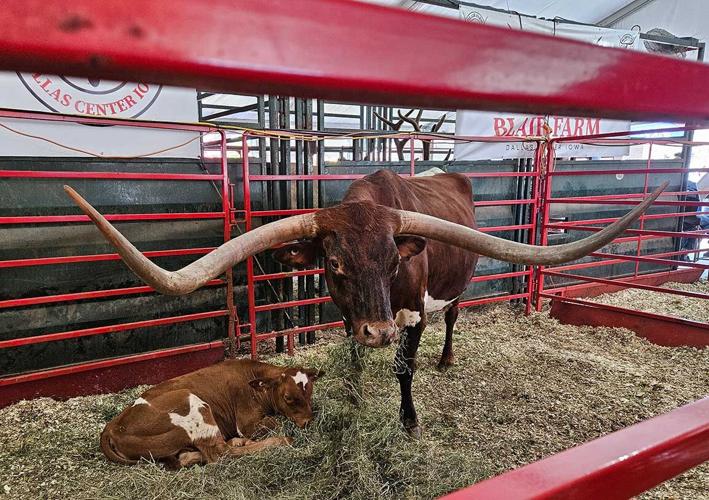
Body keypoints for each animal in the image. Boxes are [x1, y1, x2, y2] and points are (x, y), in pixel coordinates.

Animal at [64, 171, 666, 437]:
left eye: (395, 261)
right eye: (333, 264)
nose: (379, 332)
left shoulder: (411, 313)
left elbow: (405, 366)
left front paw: (409, 420)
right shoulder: (349, 314)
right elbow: (352, 357)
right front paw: (355, 393)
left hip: (455, 288)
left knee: (452, 317)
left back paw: (446, 358)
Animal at [100, 359, 323, 469]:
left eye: (310, 391)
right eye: (288, 397)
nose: (308, 421)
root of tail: (112, 426)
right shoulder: (247, 424)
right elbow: (273, 424)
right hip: (192, 405)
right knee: (221, 453)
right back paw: (281, 440)